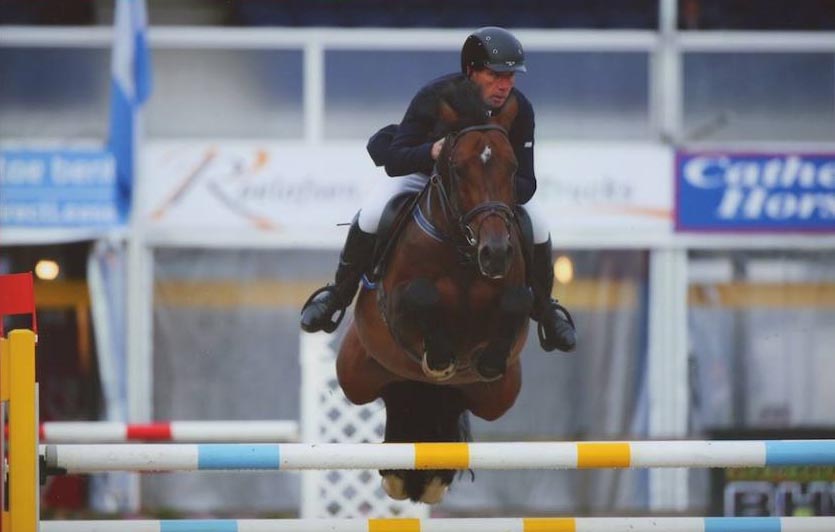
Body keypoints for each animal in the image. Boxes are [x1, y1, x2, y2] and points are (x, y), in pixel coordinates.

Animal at [334, 81, 528, 504]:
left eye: (513, 168)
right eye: (458, 169)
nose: (495, 252)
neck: (462, 251)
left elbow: (516, 301)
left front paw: (485, 360)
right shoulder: (396, 307)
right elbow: (421, 295)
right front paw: (440, 357)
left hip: (500, 396)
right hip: (354, 374)